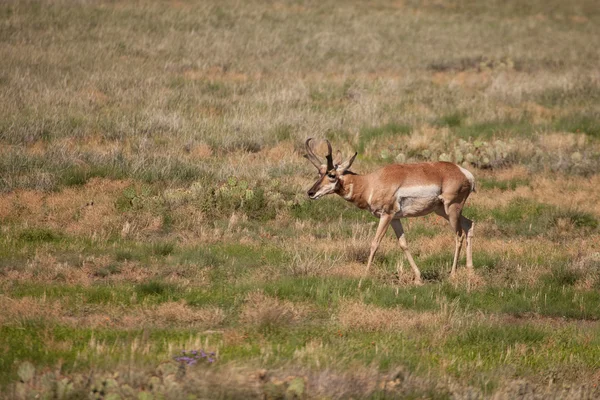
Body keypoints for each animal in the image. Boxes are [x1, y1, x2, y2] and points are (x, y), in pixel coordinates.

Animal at [308, 139, 476, 286]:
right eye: (319, 173)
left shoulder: (386, 215)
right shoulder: (395, 218)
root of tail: (464, 173)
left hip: (451, 208)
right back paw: (470, 270)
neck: (371, 182)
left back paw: (452, 274)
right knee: (469, 224)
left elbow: (375, 243)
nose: (310, 192)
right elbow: (403, 244)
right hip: (442, 210)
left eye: (331, 175)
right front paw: (418, 278)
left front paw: (364, 276)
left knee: (459, 235)